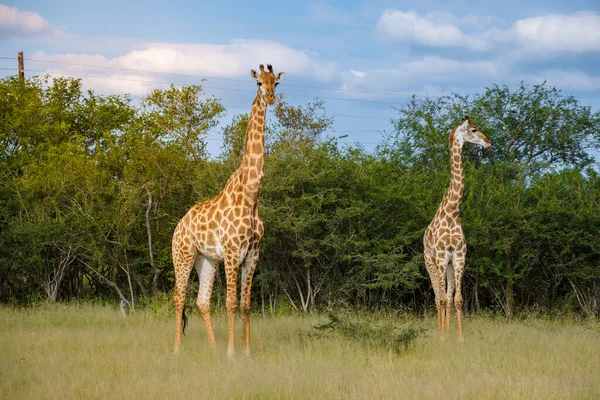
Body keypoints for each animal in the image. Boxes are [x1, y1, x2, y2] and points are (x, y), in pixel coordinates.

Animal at [170, 63, 284, 356]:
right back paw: (177, 350)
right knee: (179, 296)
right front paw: (232, 352)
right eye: (259, 83)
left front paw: (246, 352)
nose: (270, 98)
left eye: (276, 83)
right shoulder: (233, 253)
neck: (251, 195)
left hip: (207, 260)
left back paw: (212, 349)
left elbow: (245, 304)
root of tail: (178, 226)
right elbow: (231, 302)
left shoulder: (252, 254)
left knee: (201, 300)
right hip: (183, 255)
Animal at [422, 115, 492, 340]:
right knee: (438, 297)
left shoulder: (459, 257)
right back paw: (440, 332)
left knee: (447, 296)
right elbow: (443, 299)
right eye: (474, 129)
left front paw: (459, 338)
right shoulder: (441, 257)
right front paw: (444, 337)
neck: (453, 211)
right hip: (431, 263)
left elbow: (457, 299)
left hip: (450, 266)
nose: (489, 142)